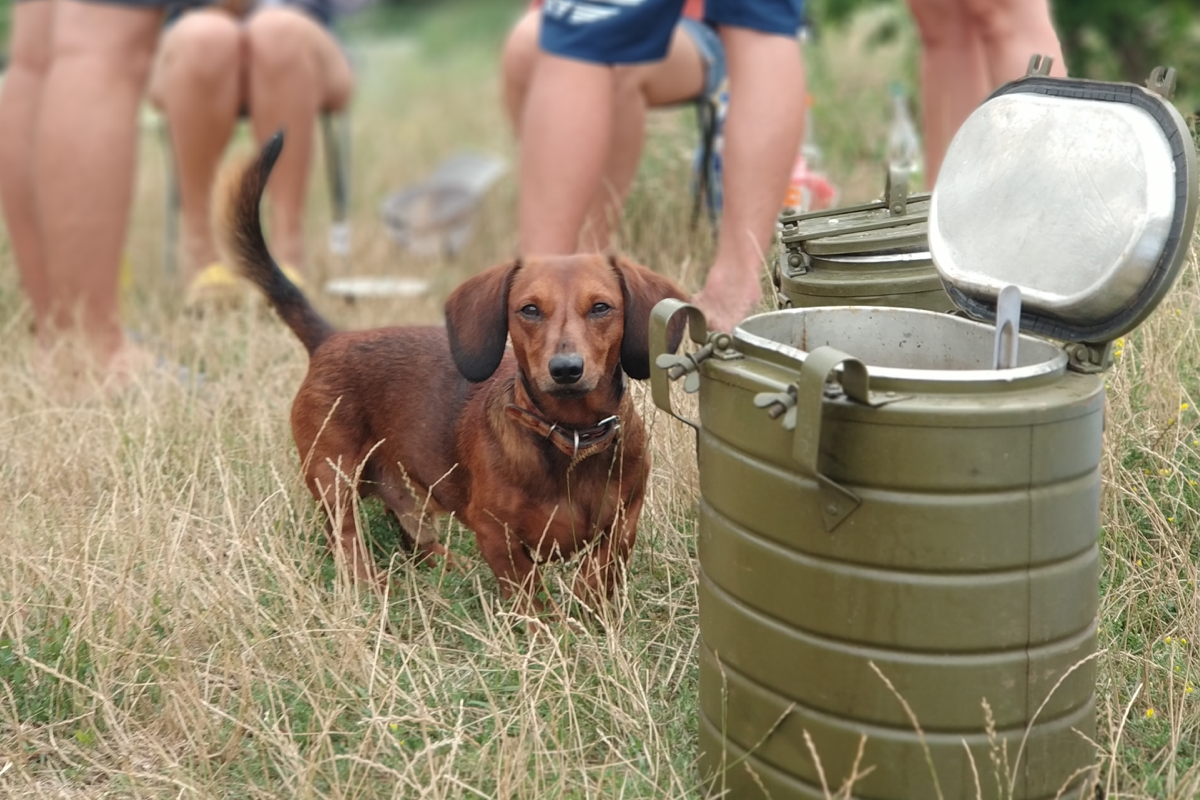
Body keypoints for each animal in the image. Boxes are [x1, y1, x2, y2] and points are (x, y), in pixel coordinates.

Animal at [218, 134, 686, 618]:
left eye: (601, 307)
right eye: (529, 309)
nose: (566, 370)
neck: (570, 437)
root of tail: (330, 339)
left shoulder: (625, 517)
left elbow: (601, 567)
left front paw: (589, 611)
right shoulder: (494, 532)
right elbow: (528, 593)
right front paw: (551, 627)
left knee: (410, 533)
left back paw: (446, 565)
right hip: (334, 478)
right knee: (346, 540)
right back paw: (373, 587)